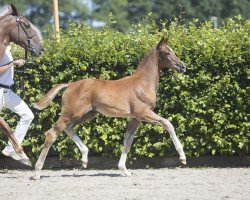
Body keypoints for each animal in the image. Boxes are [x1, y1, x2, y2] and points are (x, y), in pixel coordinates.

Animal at [32, 36, 186, 179]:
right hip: (72, 113)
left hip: (86, 114)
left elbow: (128, 141)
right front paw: (182, 157)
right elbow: (168, 123)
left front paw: (124, 170)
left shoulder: (135, 118)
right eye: (167, 52)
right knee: (52, 133)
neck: (142, 84)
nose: (182, 67)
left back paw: (84, 158)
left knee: (68, 128)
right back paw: (37, 172)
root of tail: (70, 84)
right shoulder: (143, 113)